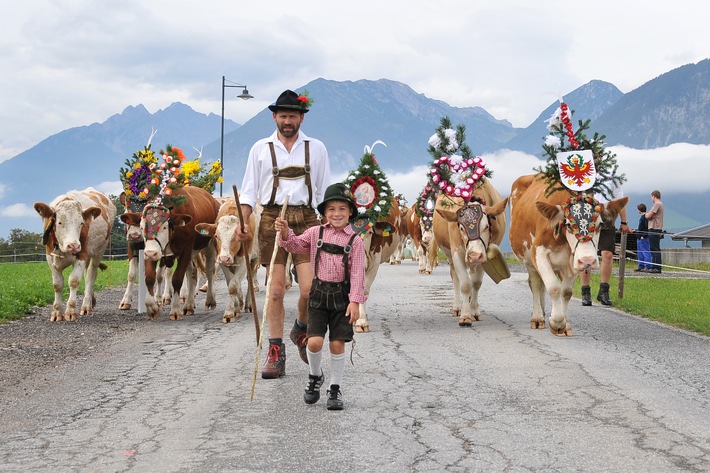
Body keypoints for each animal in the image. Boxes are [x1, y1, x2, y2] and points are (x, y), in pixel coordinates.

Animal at [34, 186, 115, 318]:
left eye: (81, 223)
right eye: (59, 222)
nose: (74, 246)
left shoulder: (82, 255)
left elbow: (74, 281)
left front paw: (71, 310)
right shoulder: (50, 258)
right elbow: (57, 285)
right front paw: (56, 312)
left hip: (99, 251)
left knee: (90, 275)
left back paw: (86, 305)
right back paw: (91, 300)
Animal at [138, 186, 218, 318]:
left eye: (164, 227)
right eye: (141, 227)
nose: (150, 253)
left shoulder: (185, 250)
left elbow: (177, 279)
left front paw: (175, 310)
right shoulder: (153, 252)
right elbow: (150, 277)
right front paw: (152, 307)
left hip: (210, 244)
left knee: (209, 271)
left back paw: (210, 300)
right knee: (192, 272)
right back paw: (189, 304)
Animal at [434, 179, 512, 326]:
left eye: (486, 226)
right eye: (461, 227)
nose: (474, 256)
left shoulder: (483, 255)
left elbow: (476, 283)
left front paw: (474, 311)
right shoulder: (457, 252)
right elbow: (465, 284)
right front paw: (465, 315)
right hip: (450, 256)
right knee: (455, 277)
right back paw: (457, 307)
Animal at [508, 174, 632, 336]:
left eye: (599, 224)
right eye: (568, 224)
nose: (588, 260)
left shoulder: (575, 260)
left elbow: (566, 292)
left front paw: (564, 324)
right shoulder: (539, 253)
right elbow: (553, 287)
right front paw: (556, 322)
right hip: (528, 258)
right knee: (535, 283)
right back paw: (537, 318)